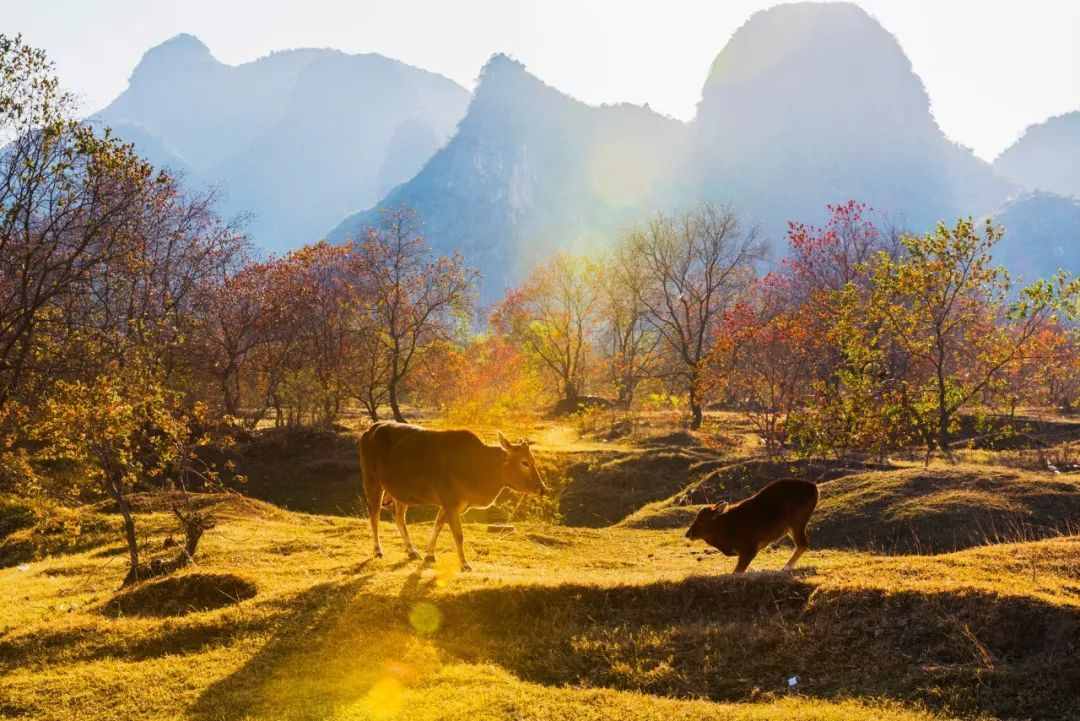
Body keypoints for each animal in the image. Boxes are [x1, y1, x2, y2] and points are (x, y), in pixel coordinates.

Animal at [360, 418, 548, 569]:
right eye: (524, 462)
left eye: (533, 460)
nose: (542, 488)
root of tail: (368, 431)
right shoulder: (450, 503)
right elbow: (458, 535)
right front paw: (464, 564)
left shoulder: (449, 504)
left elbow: (437, 525)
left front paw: (429, 555)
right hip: (372, 481)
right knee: (374, 514)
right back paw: (378, 550)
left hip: (400, 493)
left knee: (399, 517)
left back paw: (411, 550)